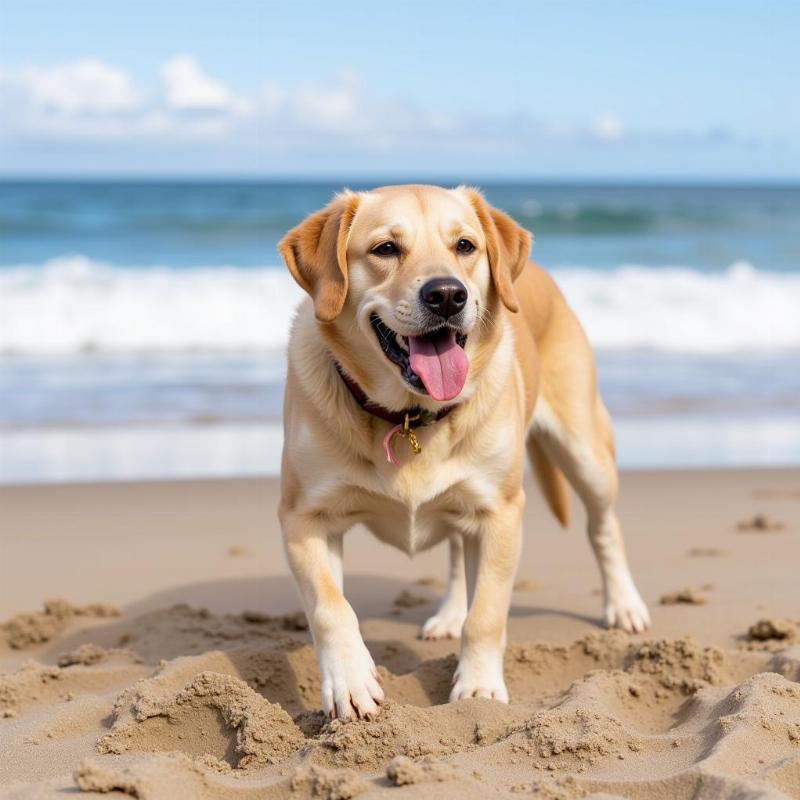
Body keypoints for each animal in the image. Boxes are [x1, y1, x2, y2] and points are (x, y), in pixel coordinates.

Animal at [278, 186, 648, 720]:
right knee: (456, 552)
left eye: (465, 246)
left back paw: (624, 605)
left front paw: (478, 688)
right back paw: (448, 614)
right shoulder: (304, 516)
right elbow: (331, 607)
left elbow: (488, 612)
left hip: (585, 451)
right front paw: (349, 681)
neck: (410, 416)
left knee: (604, 527)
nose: (447, 294)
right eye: (385, 248)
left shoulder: (499, 513)